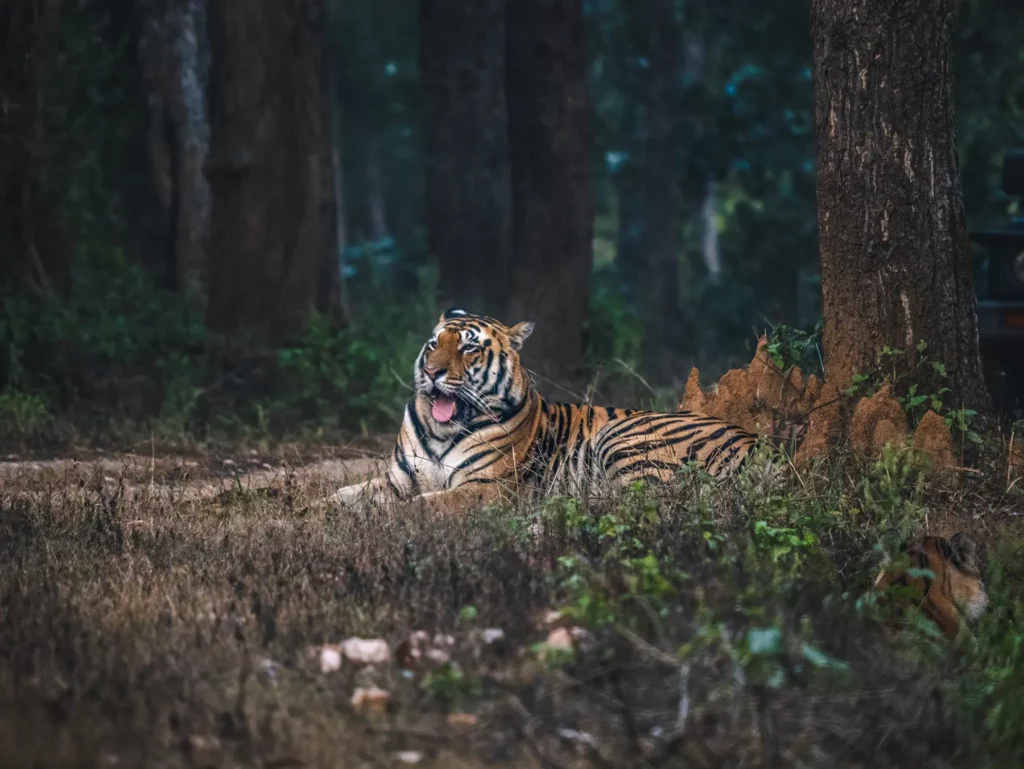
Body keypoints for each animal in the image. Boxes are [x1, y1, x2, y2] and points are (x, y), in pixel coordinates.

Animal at [331, 308, 759, 514]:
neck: (443, 431)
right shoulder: (397, 481)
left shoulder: (486, 488)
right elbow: (341, 494)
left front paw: (382, 520)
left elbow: (421, 506)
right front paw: (320, 514)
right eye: (434, 344)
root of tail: (757, 443)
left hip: (622, 439)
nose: (432, 371)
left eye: (468, 347)